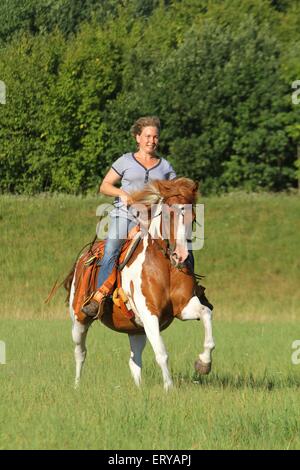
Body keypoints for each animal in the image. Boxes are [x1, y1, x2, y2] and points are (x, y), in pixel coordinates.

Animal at [67, 176, 214, 390]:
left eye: (193, 217)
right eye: (167, 215)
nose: (180, 256)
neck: (165, 267)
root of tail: (84, 257)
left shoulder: (184, 308)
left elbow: (206, 314)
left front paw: (203, 363)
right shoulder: (149, 313)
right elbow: (162, 353)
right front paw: (169, 388)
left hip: (135, 329)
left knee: (134, 360)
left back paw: (138, 389)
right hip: (79, 319)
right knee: (80, 352)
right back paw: (77, 386)